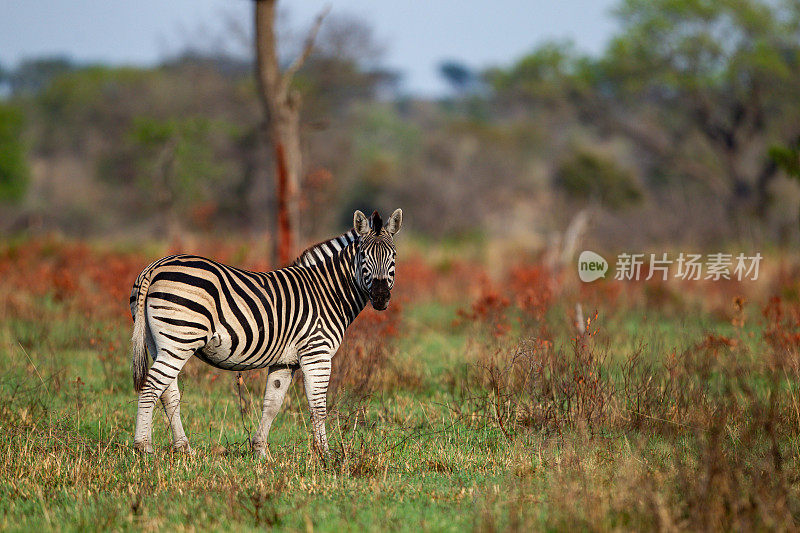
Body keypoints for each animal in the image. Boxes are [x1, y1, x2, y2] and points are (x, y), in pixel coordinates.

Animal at [132, 206, 406, 456]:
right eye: (363, 257)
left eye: (393, 257)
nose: (381, 298)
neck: (328, 291)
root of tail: (155, 266)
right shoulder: (317, 353)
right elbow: (318, 406)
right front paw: (325, 455)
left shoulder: (285, 362)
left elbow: (272, 404)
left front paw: (260, 451)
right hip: (179, 339)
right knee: (151, 388)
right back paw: (143, 447)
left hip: (159, 343)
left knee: (168, 393)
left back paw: (184, 448)